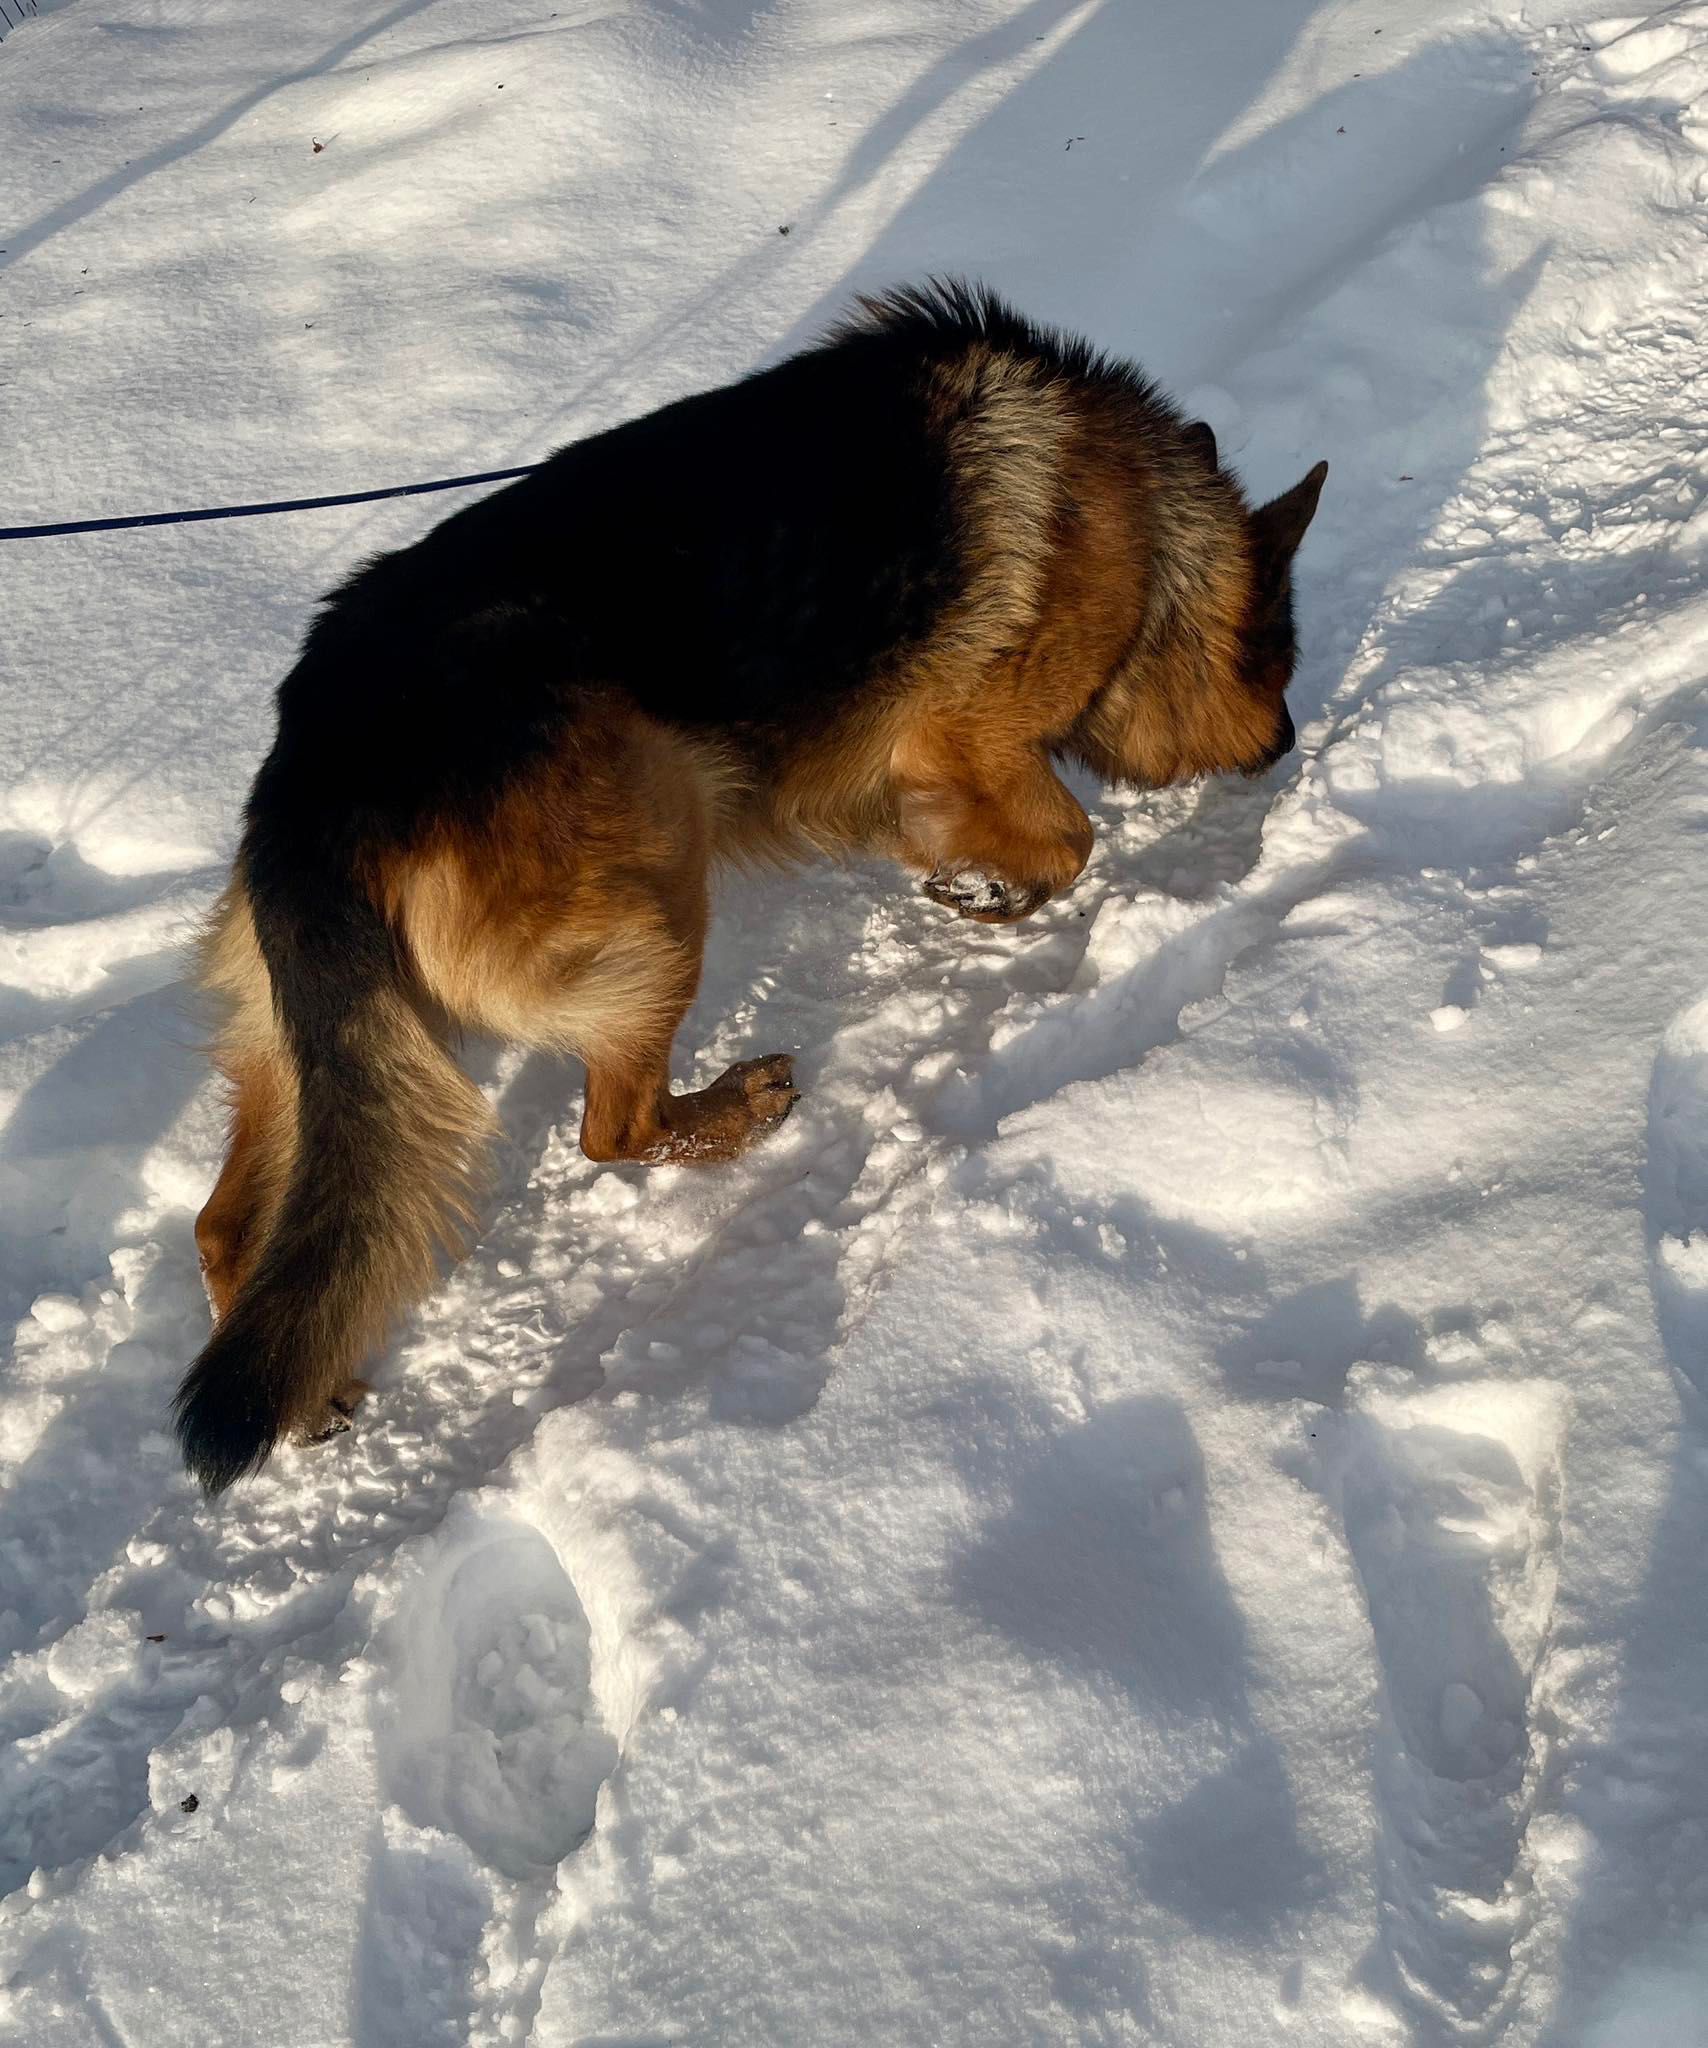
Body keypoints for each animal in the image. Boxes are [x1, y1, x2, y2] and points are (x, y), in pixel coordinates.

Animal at [176, 284, 1318, 1490]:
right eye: (1279, 658)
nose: (1288, 743)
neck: (1152, 530)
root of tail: (314, 774)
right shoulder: (961, 742)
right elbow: (1071, 841)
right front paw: (990, 891)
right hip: (660, 868)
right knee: (614, 1130)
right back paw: (733, 1112)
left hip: (325, 1038)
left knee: (228, 1223)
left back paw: (306, 1392)